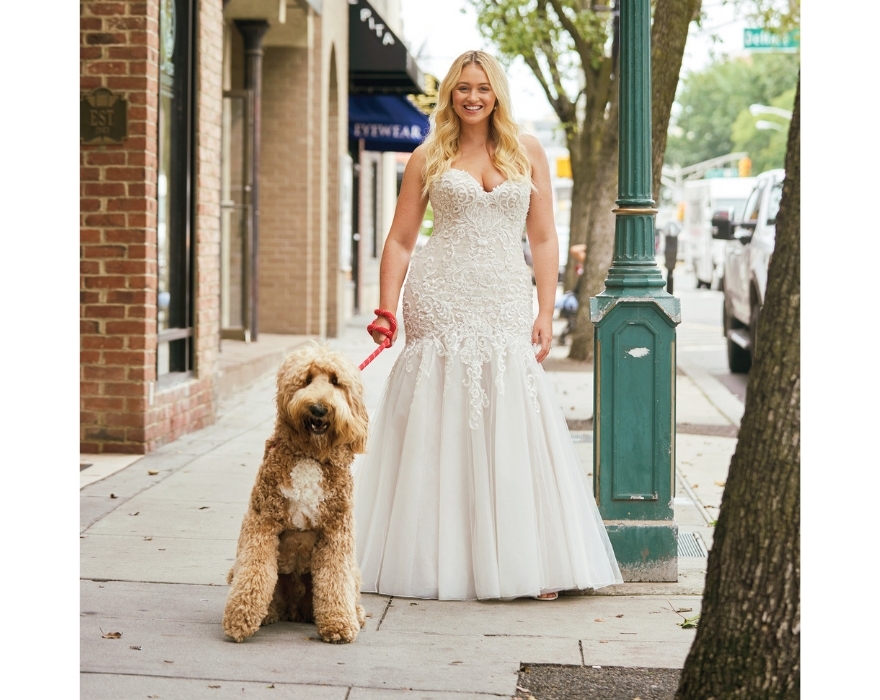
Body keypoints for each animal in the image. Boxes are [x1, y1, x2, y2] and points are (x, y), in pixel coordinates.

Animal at [223, 342, 372, 644]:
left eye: (336, 381)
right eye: (306, 380)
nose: (318, 409)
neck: (310, 453)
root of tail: (296, 610)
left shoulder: (336, 532)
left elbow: (335, 579)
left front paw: (339, 624)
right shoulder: (262, 522)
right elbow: (255, 570)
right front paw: (240, 618)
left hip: (351, 569)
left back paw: (356, 613)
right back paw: (267, 614)